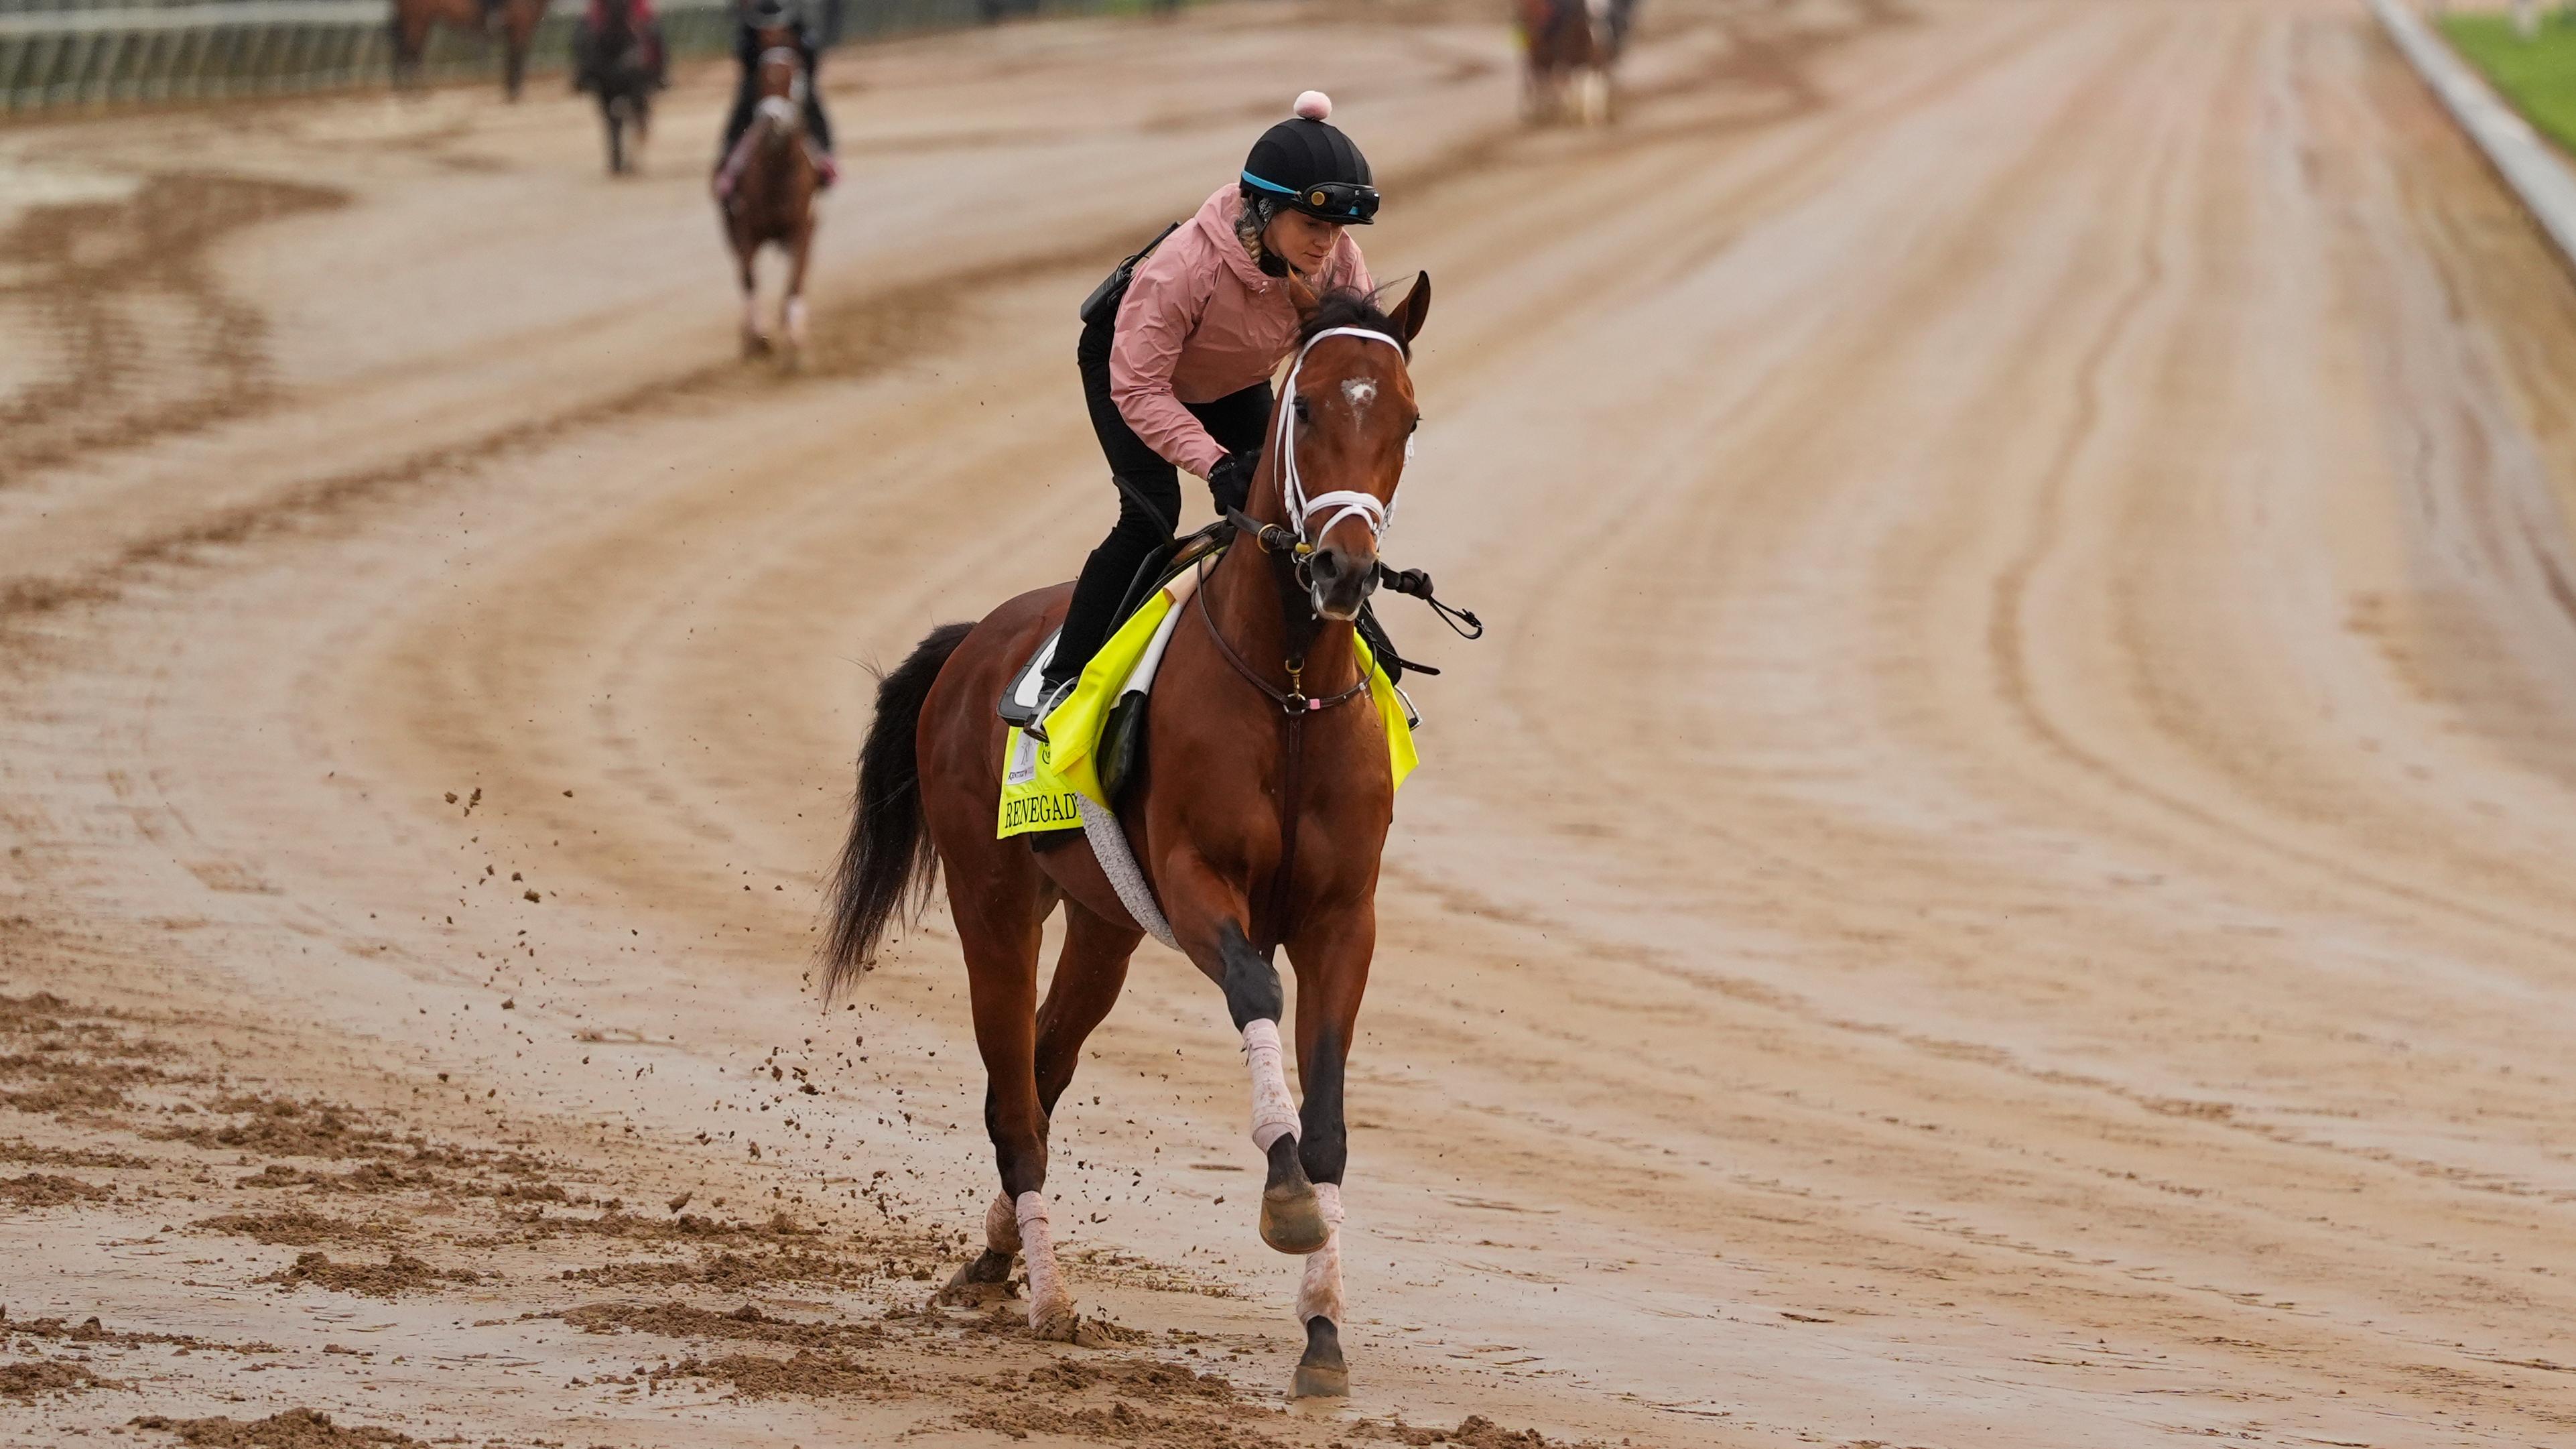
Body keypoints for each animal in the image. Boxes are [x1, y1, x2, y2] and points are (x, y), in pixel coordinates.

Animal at [389, 0, 550, 101]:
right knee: (409, 55)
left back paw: (408, 91)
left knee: (408, 54)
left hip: (420, 22)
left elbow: (512, 60)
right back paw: (413, 93)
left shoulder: (516, 32)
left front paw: (512, 92)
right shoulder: (521, 30)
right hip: (417, 21)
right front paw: (515, 94)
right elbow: (517, 59)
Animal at [717, 37, 821, 363]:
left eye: (795, 78)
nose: (771, 118)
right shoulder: (745, 229)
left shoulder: (801, 226)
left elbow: (796, 279)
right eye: (760, 80)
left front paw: (795, 337)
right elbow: (749, 277)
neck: (776, 172)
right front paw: (757, 336)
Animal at [823, 275, 1434, 1399]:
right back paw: (1049, 1299)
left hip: (1103, 924)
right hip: (994, 900)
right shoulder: (1198, 887)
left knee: (1037, 1070)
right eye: (1305, 408)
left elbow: (1328, 1117)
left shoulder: (1343, 917)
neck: (1288, 689)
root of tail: (971, 643)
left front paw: (1323, 1328)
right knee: (1015, 1100)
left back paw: (995, 1254)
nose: (1342, 569)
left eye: (1406, 418)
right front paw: (1286, 1202)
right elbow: (1256, 993)